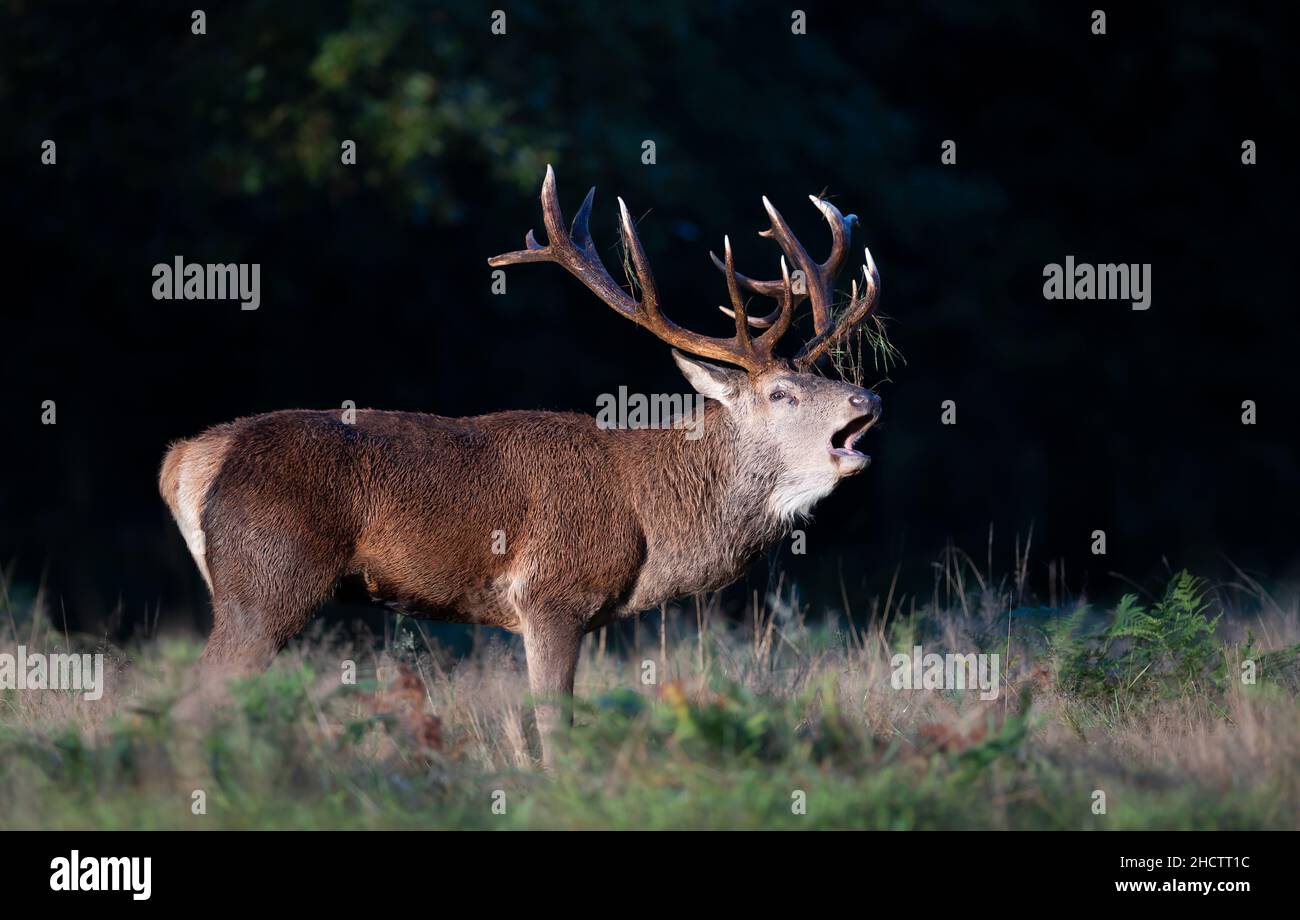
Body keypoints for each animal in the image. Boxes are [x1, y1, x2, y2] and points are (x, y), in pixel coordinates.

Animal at [159, 166, 884, 766]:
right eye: (781, 393)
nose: (868, 398)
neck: (653, 521)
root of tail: (187, 460)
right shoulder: (550, 593)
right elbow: (556, 732)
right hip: (267, 579)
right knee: (193, 706)